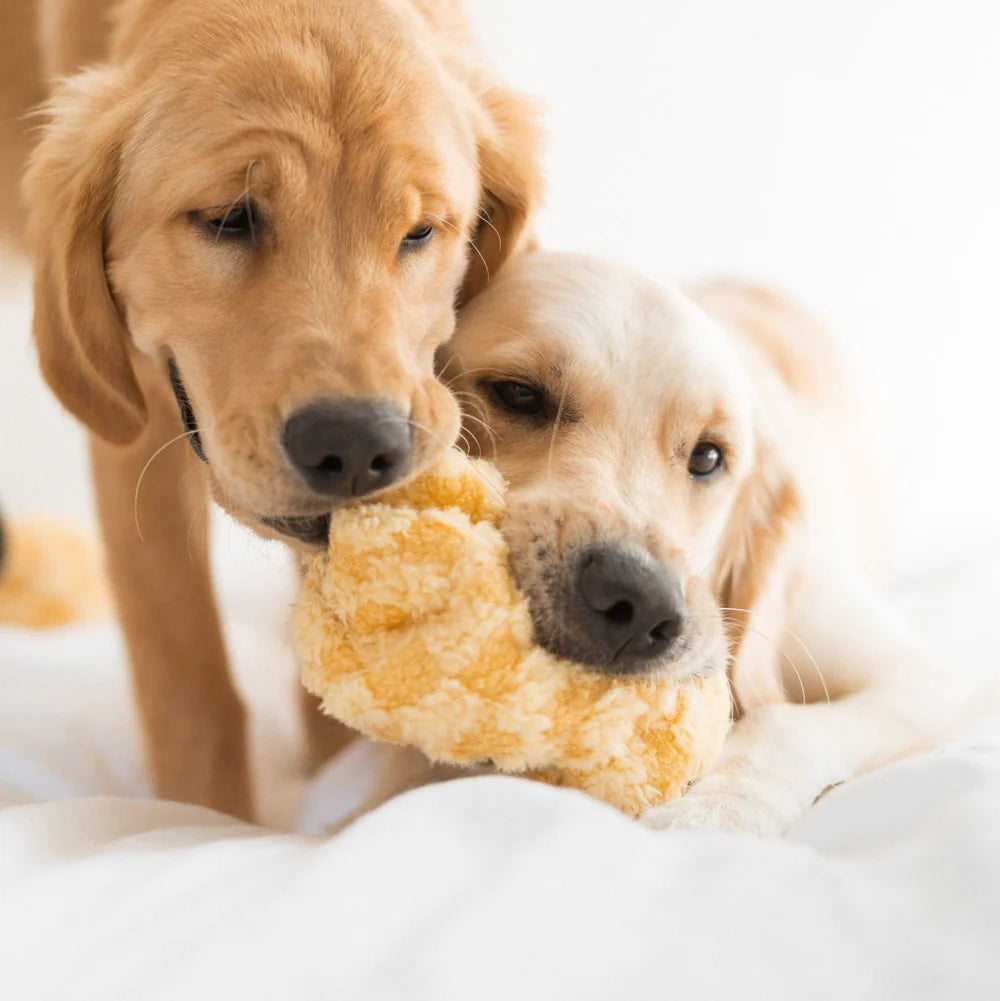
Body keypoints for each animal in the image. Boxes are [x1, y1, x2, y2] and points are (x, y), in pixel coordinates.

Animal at [0, 0, 544, 816]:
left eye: (421, 231)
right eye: (229, 218)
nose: (355, 446)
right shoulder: (141, 422)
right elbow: (188, 680)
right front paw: (200, 821)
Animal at [432, 254, 968, 832]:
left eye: (709, 457)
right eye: (519, 394)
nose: (640, 604)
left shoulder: (925, 678)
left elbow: (785, 723)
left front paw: (719, 809)